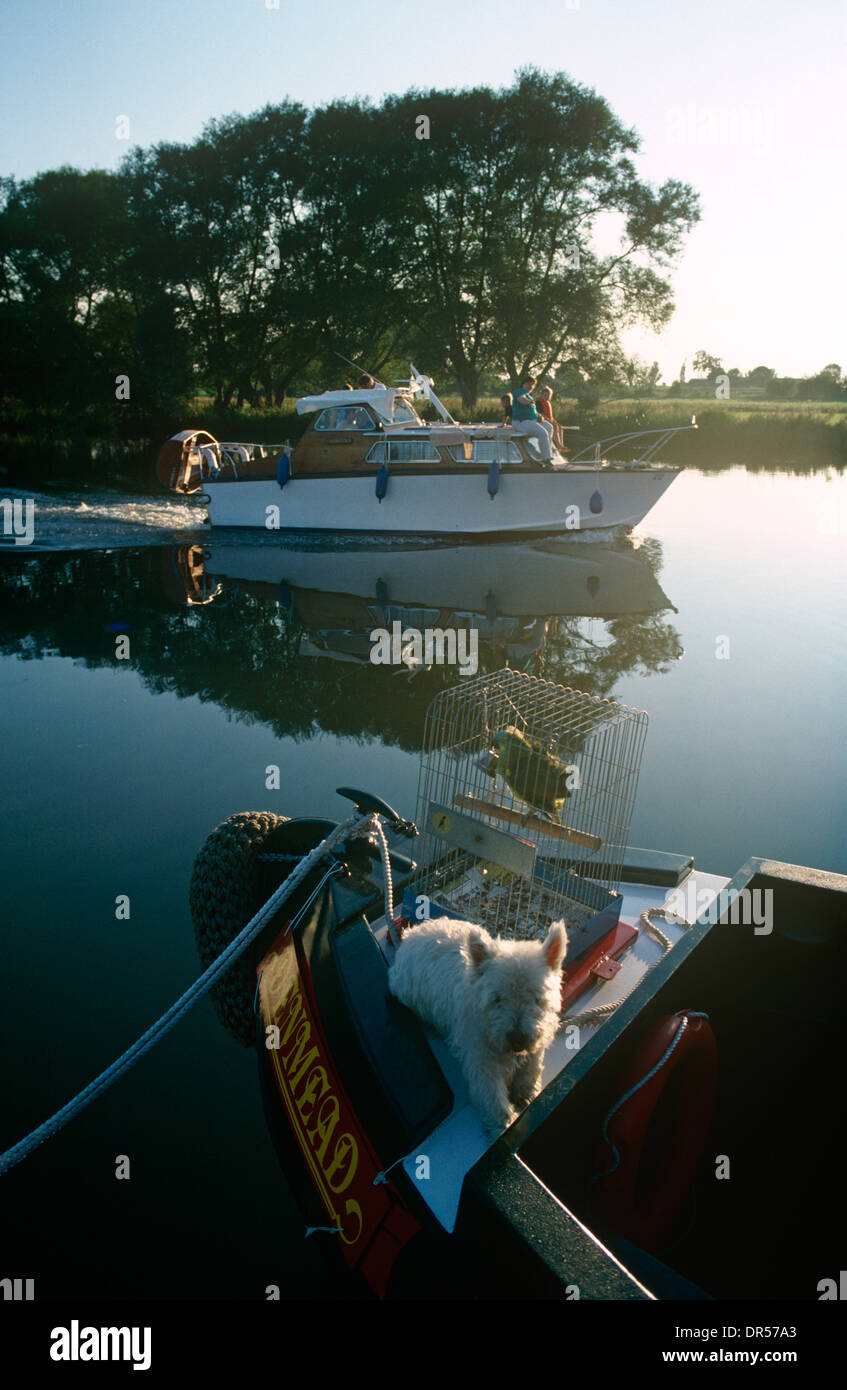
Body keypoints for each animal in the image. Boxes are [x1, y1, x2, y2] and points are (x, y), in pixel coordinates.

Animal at [386, 917, 564, 1134]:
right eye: (497, 999)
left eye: (537, 998)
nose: (516, 1038)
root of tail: (411, 934)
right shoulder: (480, 1058)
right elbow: (491, 1096)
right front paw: (504, 1124)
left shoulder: (538, 1037)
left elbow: (532, 1066)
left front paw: (526, 1092)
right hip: (407, 991)